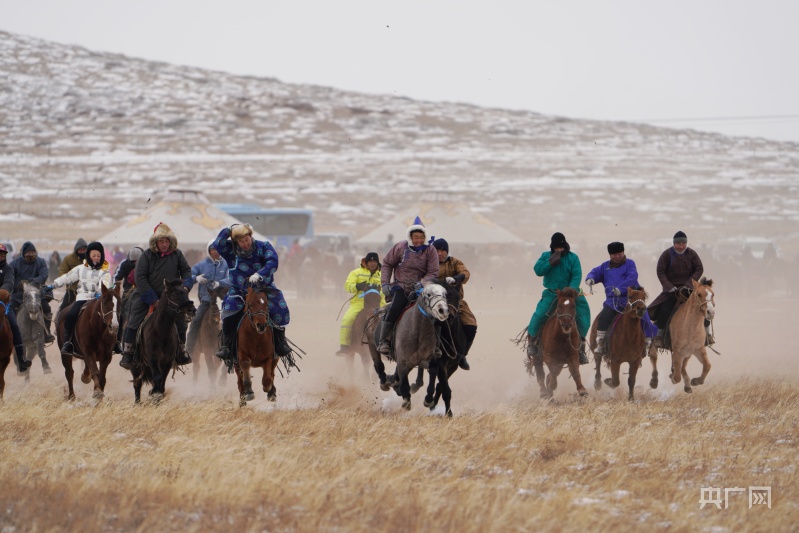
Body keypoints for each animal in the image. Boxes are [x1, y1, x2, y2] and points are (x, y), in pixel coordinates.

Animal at [368, 280, 454, 410]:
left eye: (445, 294)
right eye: (428, 294)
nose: (443, 310)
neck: (417, 331)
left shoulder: (429, 359)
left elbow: (433, 372)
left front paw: (428, 399)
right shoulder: (403, 361)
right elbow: (404, 380)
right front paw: (406, 400)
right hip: (372, 346)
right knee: (378, 364)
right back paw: (385, 382)